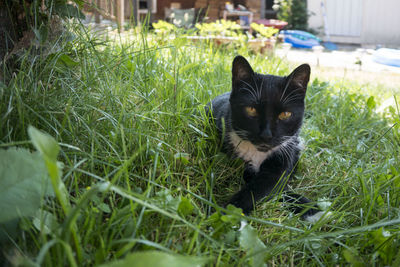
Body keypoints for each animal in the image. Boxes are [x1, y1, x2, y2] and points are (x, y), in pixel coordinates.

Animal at [208, 55, 324, 222]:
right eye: (251, 109)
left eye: (285, 114)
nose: (266, 134)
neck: (257, 154)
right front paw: (222, 214)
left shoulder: (282, 158)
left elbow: (269, 185)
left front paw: (310, 208)